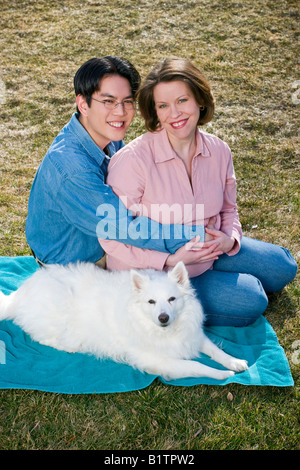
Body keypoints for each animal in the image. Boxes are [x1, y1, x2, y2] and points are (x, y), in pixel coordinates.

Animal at [0, 262, 248, 380]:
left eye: (171, 299)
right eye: (151, 301)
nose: (164, 317)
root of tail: (21, 292)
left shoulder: (194, 336)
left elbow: (216, 350)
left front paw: (234, 362)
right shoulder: (160, 361)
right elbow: (197, 366)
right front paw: (222, 375)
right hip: (59, 313)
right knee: (43, 338)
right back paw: (68, 347)